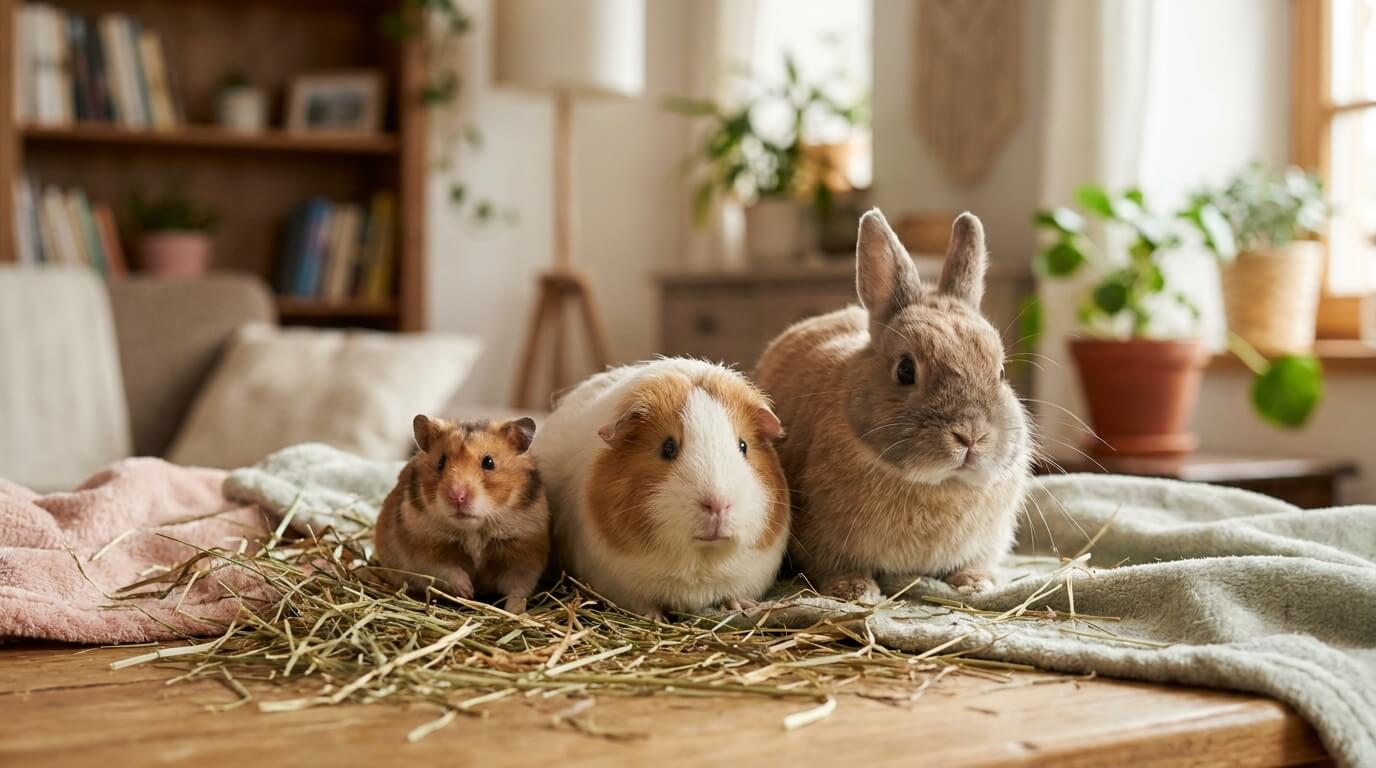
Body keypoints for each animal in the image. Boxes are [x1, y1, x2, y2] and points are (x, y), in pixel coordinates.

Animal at [374, 415, 549, 613]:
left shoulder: (524, 557)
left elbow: (517, 591)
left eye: (489, 462)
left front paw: (515, 612)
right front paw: (468, 592)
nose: (457, 496)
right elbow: (448, 571)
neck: (474, 530)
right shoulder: (424, 553)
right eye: (441, 462)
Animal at [531, 358, 790, 621]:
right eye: (668, 448)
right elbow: (644, 604)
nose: (718, 504)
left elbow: (735, 593)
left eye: (743, 446)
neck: (700, 562)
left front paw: (743, 606)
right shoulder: (621, 585)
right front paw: (653, 618)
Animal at [754, 209, 1031, 601]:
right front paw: (855, 590)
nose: (972, 437)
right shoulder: (823, 540)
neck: (938, 484)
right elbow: (834, 565)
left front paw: (978, 583)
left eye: (1001, 371)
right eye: (905, 370)